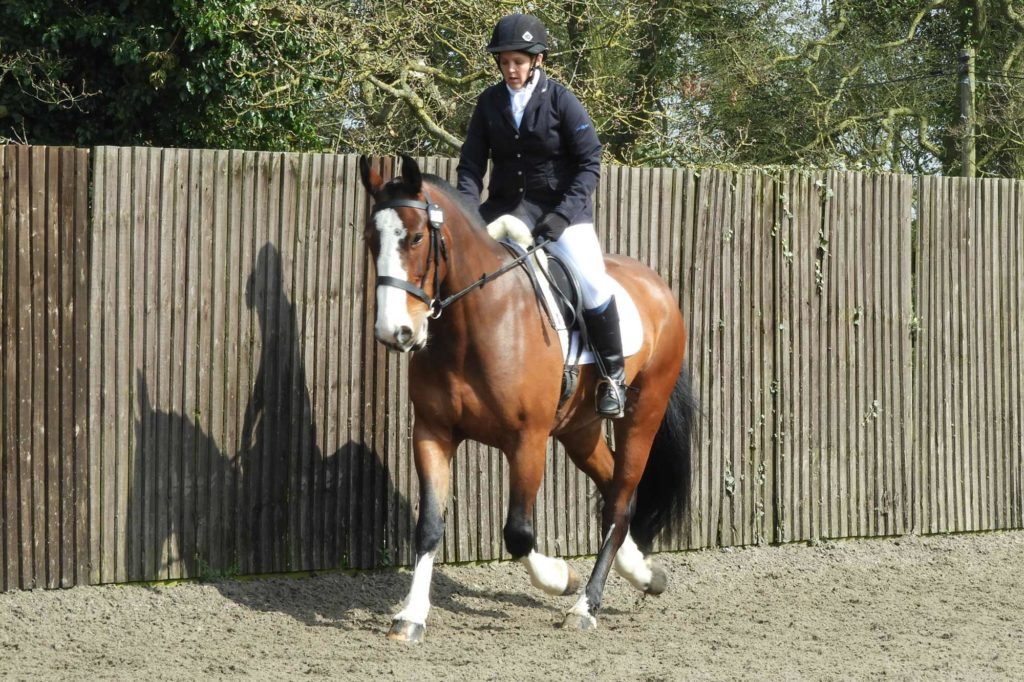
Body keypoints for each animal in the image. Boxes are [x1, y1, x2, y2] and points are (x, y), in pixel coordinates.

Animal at [360, 155, 696, 643]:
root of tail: (659, 288)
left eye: (418, 237)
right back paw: (644, 573)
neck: (474, 325)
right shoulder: (433, 433)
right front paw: (411, 616)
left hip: (642, 415)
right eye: (372, 240)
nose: (395, 333)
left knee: (618, 503)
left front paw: (561, 577)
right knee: (616, 491)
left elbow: (518, 532)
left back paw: (584, 605)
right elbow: (429, 527)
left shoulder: (528, 441)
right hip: (579, 430)